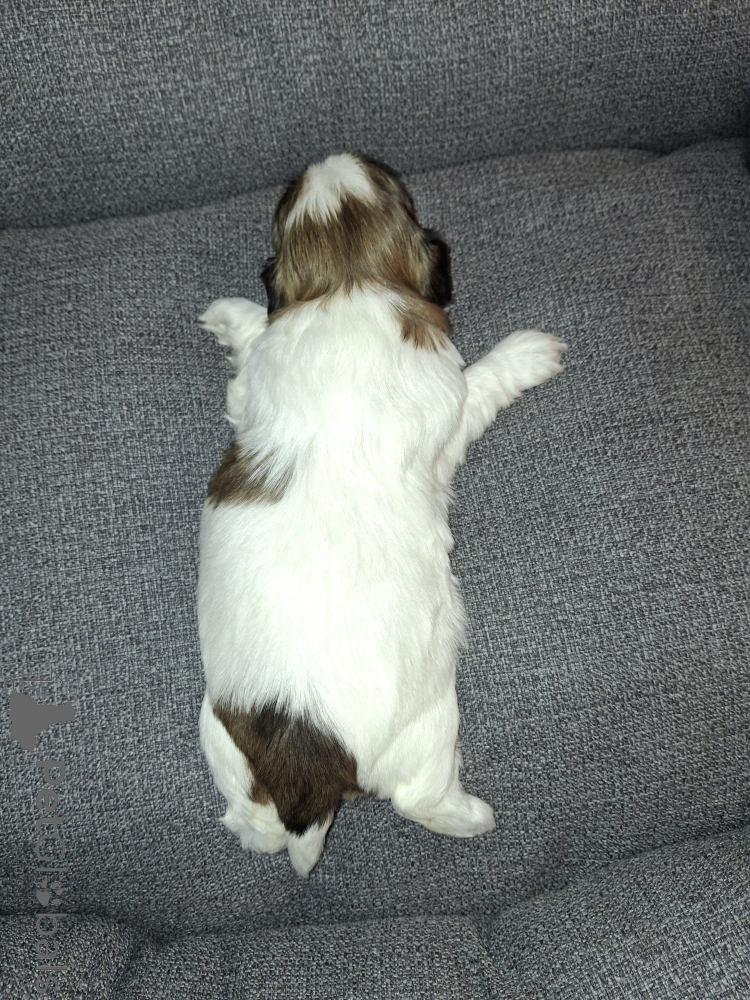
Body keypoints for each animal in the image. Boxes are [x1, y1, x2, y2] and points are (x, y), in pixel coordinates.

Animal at [197, 153, 566, 876]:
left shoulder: (254, 381)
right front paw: (529, 353)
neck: (345, 281)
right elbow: (484, 379)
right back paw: (474, 817)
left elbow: (252, 346)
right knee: (421, 798)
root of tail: (313, 774)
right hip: (429, 725)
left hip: (219, 732)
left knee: (252, 823)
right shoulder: (451, 398)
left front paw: (230, 315)